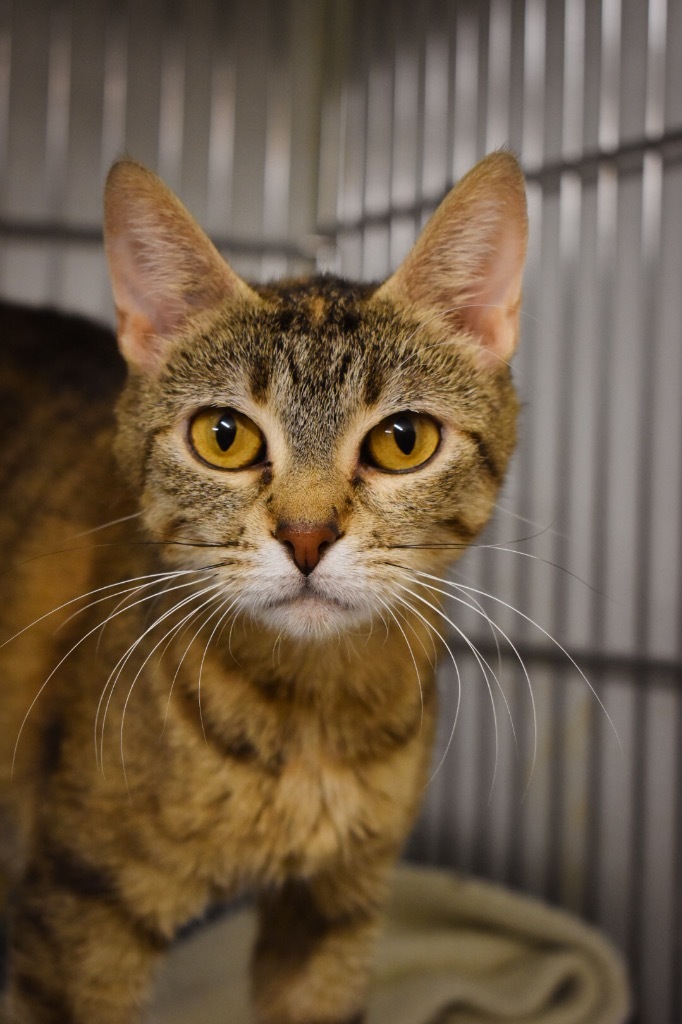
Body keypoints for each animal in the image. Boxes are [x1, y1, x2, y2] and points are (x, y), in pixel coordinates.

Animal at [0, 153, 524, 1024]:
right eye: (224, 437)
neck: (309, 719)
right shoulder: (82, 909)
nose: (307, 536)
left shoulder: (332, 914)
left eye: (403, 440)